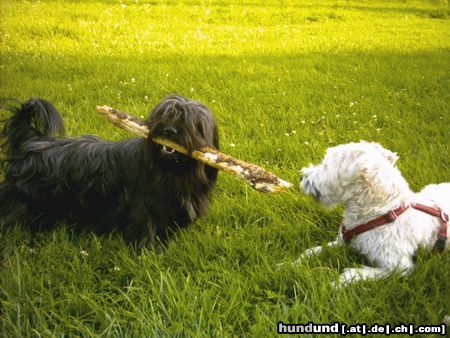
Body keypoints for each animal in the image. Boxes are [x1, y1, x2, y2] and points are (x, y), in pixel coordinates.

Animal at [0, 93, 218, 250]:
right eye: (164, 115)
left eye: (192, 122)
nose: (169, 131)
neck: (173, 171)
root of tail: (31, 140)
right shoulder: (146, 207)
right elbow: (147, 229)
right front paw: (150, 253)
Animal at [298, 141, 448, 286]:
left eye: (325, 165)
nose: (301, 176)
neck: (380, 212)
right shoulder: (342, 240)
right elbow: (315, 250)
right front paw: (296, 262)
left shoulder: (399, 267)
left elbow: (355, 273)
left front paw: (335, 284)